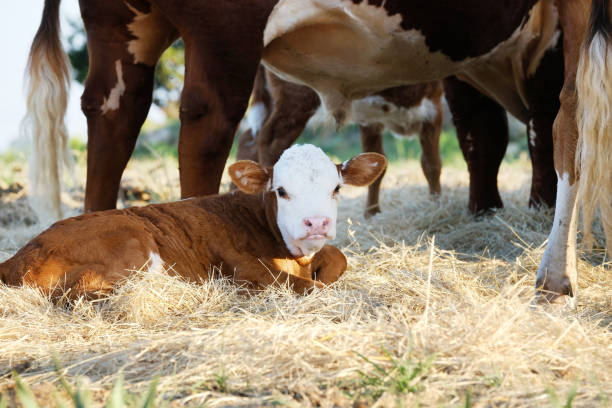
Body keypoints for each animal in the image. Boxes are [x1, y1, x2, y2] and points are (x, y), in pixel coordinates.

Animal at [0, 145, 384, 298]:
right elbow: (305, 286)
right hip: (131, 241)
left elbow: (339, 258)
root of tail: (18, 256)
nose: (316, 223)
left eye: (336, 188)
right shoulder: (244, 267)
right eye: (282, 190)